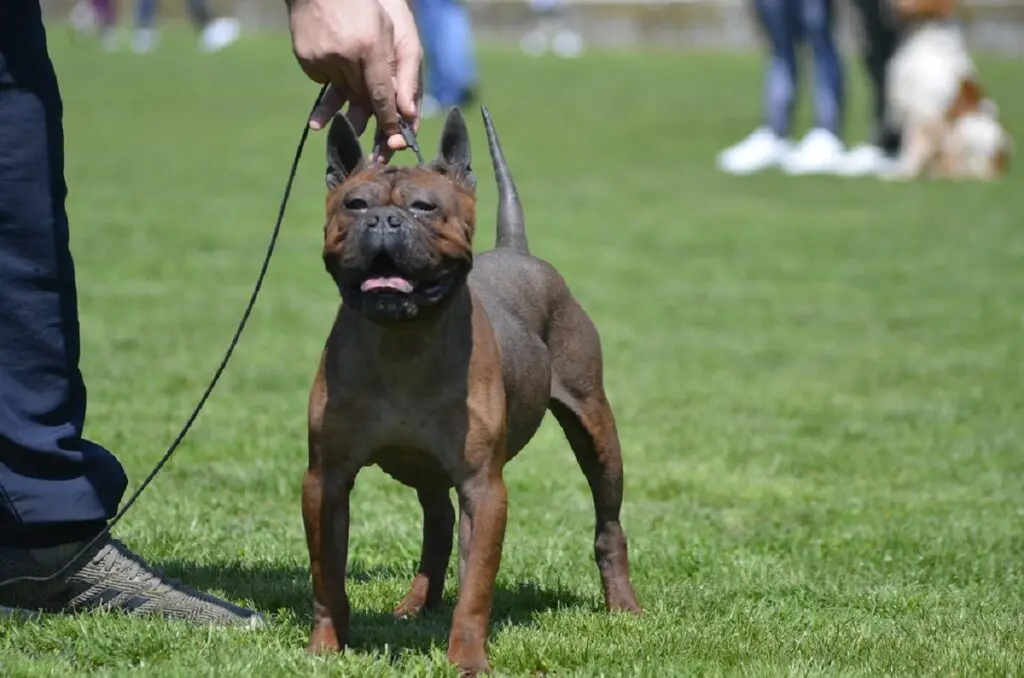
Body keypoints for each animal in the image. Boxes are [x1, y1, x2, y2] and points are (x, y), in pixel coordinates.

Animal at [299, 109, 643, 675]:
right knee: (437, 525)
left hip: (596, 431)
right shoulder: (325, 481)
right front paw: (325, 648)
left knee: (608, 521)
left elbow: (476, 587)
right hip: (424, 467)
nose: (384, 222)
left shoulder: (484, 488)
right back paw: (417, 603)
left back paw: (623, 605)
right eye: (355, 205)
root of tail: (515, 248)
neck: (403, 340)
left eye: (424, 207)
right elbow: (327, 576)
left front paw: (467, 659)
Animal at [884, 0, 1011, 180]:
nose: (890, 6)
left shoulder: (923, 110)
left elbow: (914, 148)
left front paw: (902, 175)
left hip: (972, 124)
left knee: (979, 171)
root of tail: (1002, 164)